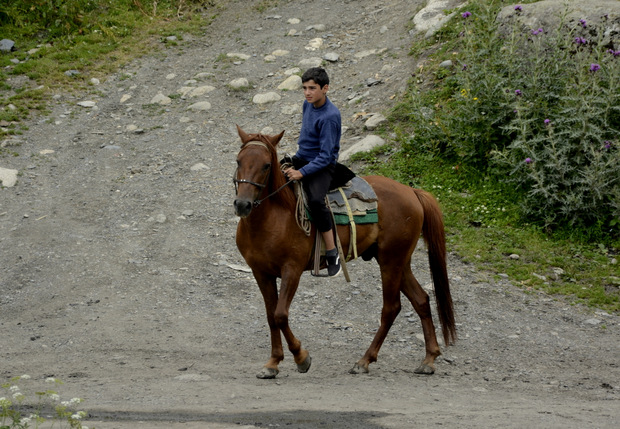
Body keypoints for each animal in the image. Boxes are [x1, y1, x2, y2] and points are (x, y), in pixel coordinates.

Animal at [232, 124, 456, 378]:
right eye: (239, 161)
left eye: (266, 165)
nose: (242, 205)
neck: (276, 216)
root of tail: (412, 192)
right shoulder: (261, 273)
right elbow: (271, 316)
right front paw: (273, 363)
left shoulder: (292, 270)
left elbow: (280, 315)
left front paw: (301, 357)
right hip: (400, 262)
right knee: (421, 300)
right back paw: (429, 359)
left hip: (391, 261)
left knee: (391, 308)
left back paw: (365, 360)